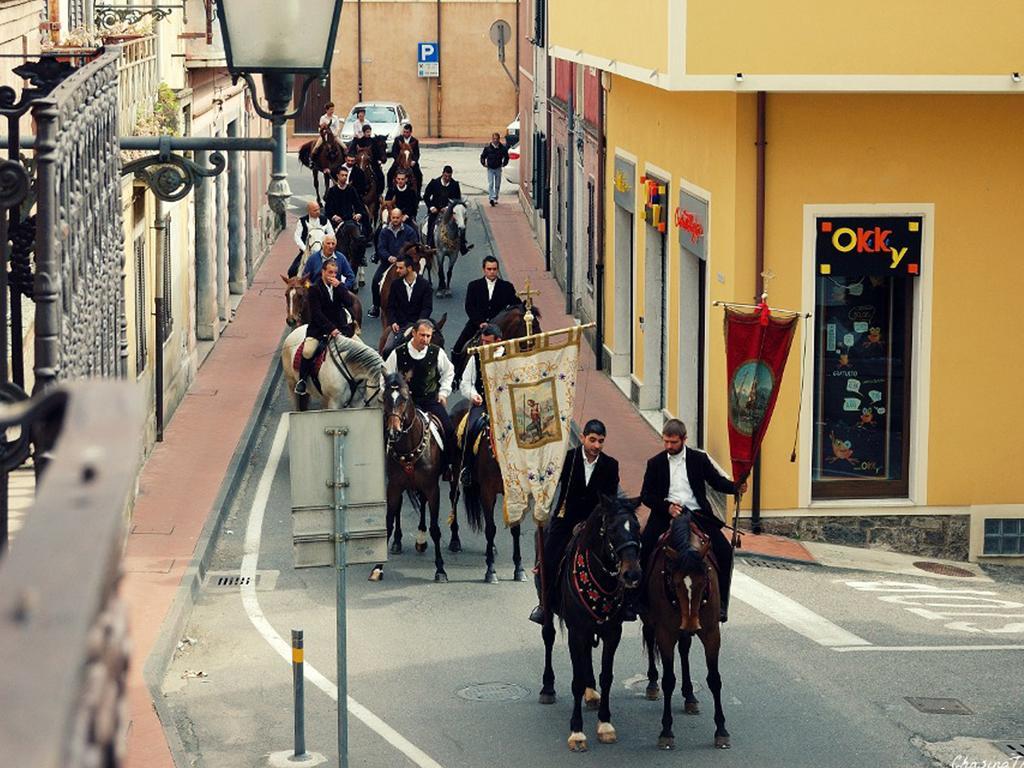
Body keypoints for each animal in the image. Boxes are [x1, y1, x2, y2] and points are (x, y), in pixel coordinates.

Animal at [382, 372, 450, 581]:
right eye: (385, 398)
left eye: (404, 398)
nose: (393, 432)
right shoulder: (394, 486)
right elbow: (389, 522)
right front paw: (378, 568)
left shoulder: (432, 488)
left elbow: (435, 529)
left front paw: (440, 569)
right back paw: (400, 542)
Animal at [536, 495, 638, 753]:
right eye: (612, 530)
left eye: (637, 527)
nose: (632, 574)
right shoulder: (576, 632)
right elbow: (576, 679)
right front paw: (577, 732)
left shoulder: (613, 632)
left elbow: (606, 676)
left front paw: (605, 724)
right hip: (549, 610)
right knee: (548, 637)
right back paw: (548, 688)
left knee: (587, 659)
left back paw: (591, 693)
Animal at [638, 518, 729, 753]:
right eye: (675, 582)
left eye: (704, 579)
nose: (691, 624)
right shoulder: (666, 633)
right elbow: (669, 680)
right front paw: (666, 731)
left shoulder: (711, 633)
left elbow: (714, 679)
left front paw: (721, 730)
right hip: (650, 619)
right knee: (649, 637)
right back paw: (652, 684)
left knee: (685, 649)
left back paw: (690, 696)